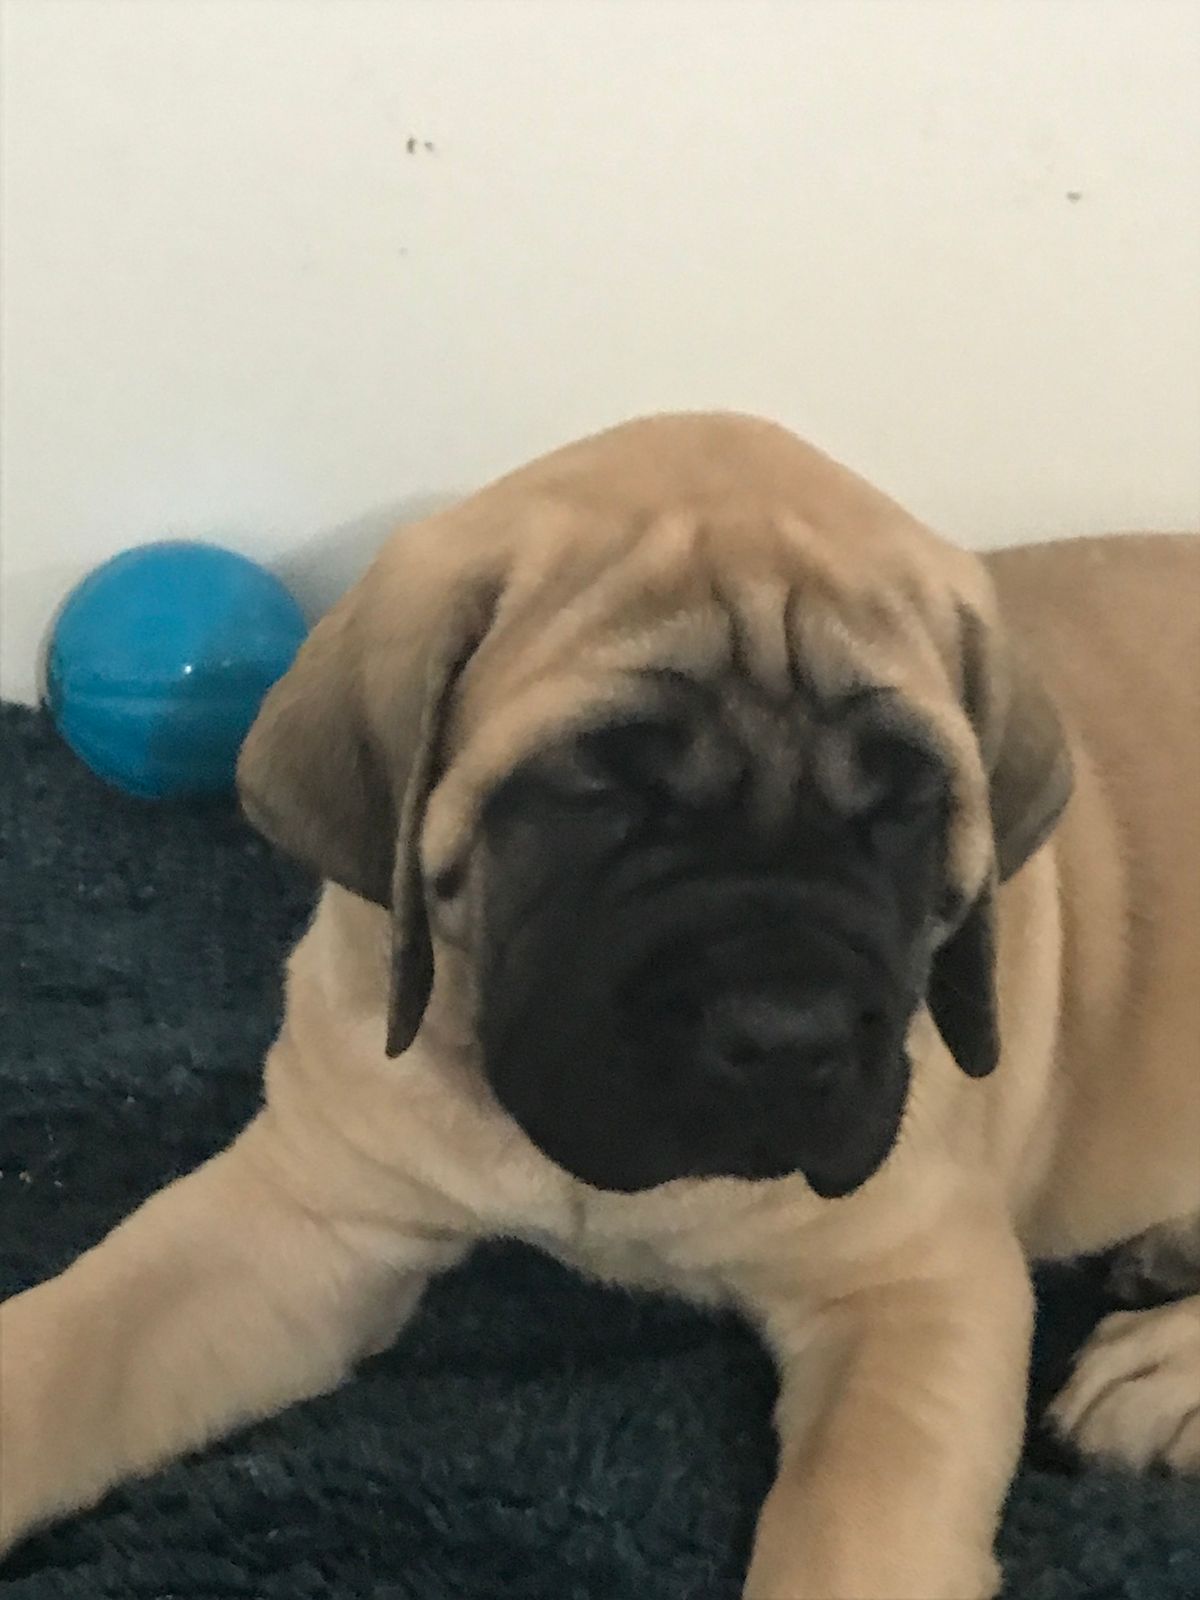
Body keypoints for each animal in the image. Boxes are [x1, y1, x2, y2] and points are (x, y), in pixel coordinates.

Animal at [2, 413, 1197, 1599]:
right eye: (598, 788)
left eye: (904, 803)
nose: (789, 1035)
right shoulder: (304, 1217)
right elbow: (66, 1350)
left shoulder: (919, 1290)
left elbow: (853, 1534)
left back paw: (1159, 1372)